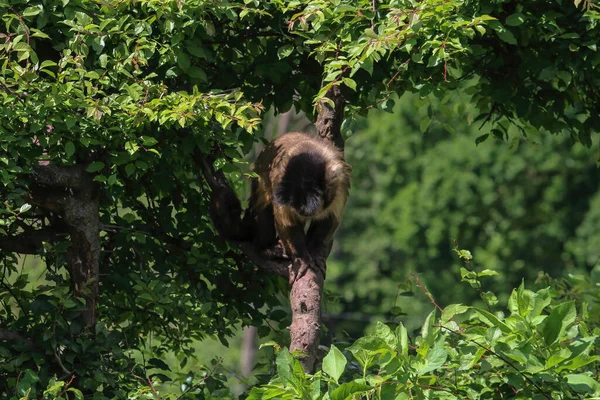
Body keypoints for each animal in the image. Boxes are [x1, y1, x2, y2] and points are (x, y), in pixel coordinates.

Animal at [247, 131, 352, 282]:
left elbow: (330, 218)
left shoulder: (339, 178)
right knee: (263, 205)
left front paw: (314, 253)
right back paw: (264, 248)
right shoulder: (280, 178)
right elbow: (287, 222)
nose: (302, 213)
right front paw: (302, 259)